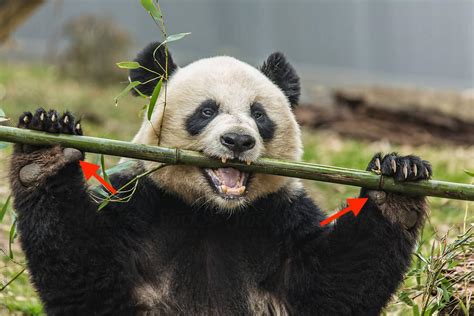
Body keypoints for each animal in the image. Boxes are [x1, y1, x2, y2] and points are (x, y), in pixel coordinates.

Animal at [9, 42, 432, 316]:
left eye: (259, 114)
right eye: (207, 111)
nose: (239, 140)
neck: (212, 213)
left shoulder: (278, 218)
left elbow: (335, 289)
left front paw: (399, 179)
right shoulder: (139, 204)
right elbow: (86, 278)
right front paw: (44, 147)